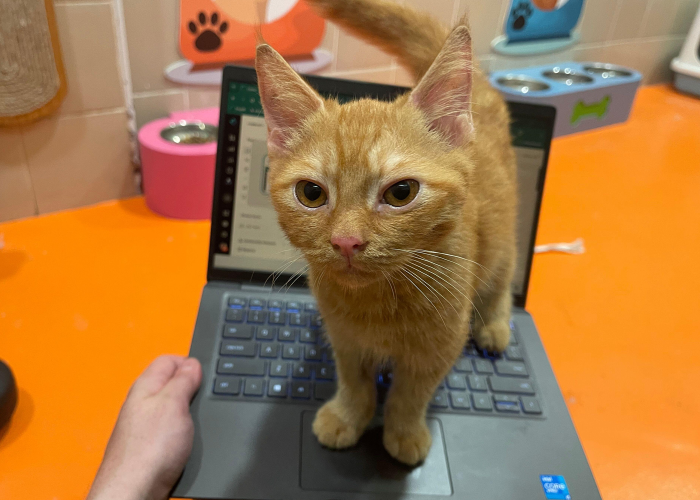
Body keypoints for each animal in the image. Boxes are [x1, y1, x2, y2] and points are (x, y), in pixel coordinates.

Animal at [254, 0, 516, 464]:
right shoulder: (343, 337)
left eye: (400, 193)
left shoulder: (442, 343)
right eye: (310, 193)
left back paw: (495, 324)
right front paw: (347, 415)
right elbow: (355, 381)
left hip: (501, 234)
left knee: (505, 272)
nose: (346, 240)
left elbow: (412, 393)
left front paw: (403, 432)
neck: (377, 305)